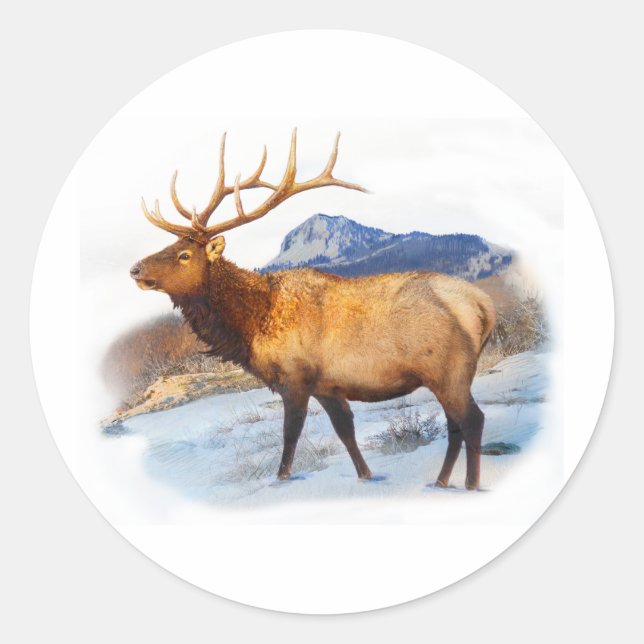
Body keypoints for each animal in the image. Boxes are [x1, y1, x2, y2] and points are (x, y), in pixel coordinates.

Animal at [130, 130, 496, 490]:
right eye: (169, 245)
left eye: (184, 255)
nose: (135, 268)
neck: (254, 324)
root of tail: (483, 304)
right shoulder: (326, 387)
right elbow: (345, 433)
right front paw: (366, 475)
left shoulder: (295, 377)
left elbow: (290, 435)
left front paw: (281, 479)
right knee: (455, 426)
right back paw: (441, 481)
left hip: (449, 370)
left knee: (473, 420)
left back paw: (471, 484)